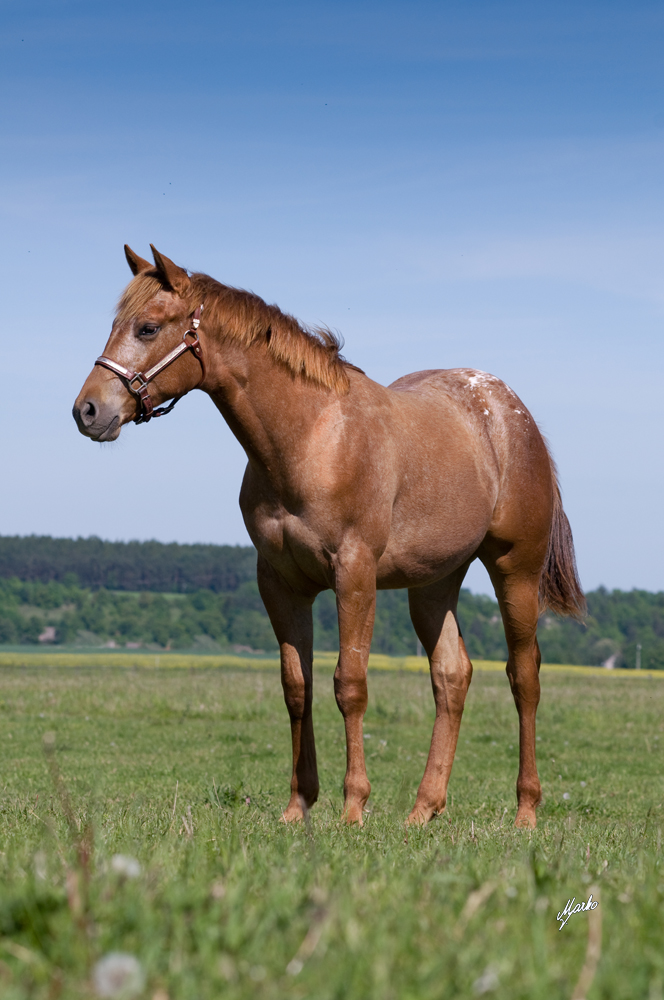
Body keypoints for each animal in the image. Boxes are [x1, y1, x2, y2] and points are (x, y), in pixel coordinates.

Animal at [72, 242, 584, 828]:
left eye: (149, 327)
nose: (87, 410)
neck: (311, 439)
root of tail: (511, 411)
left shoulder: (354, 574)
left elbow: (350, 684)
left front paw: (353, 806)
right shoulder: (281, 583)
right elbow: (298, 686)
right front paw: (298, 805)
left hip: (514, 569)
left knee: (524, 676)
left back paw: (525, 812)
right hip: (434, 583)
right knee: (451, 675)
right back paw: (423, 810)